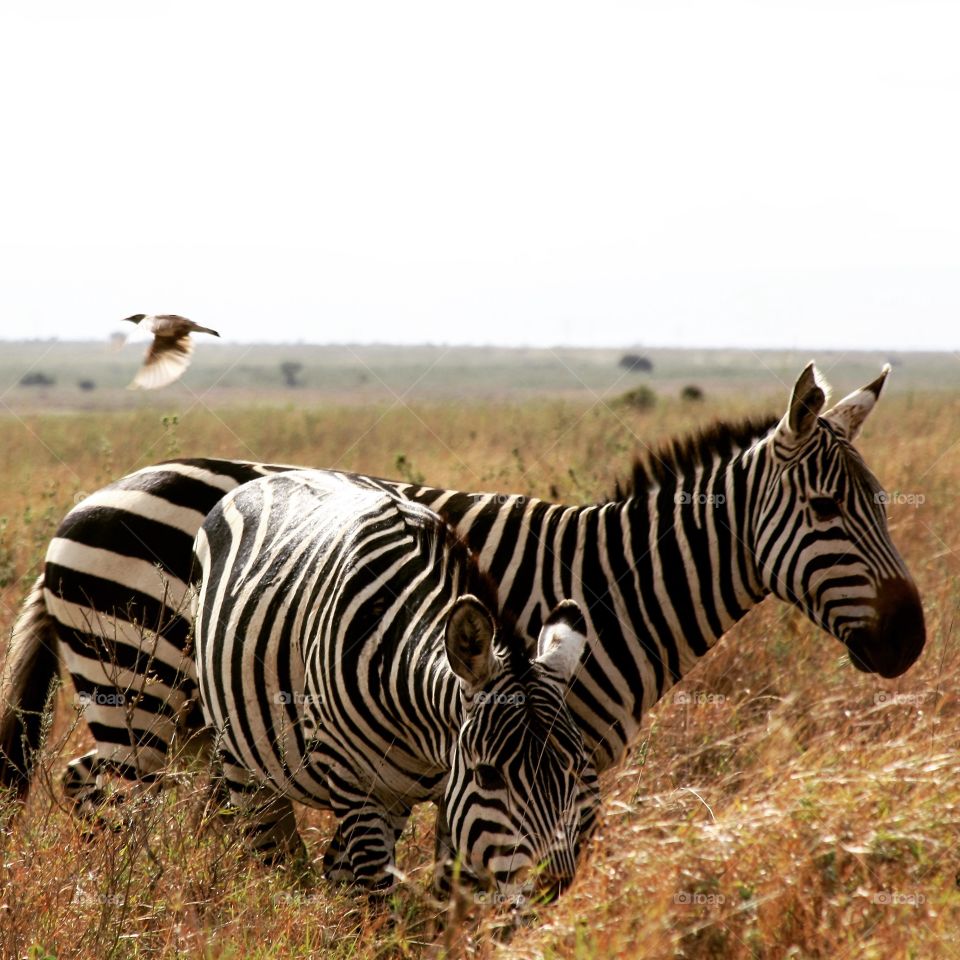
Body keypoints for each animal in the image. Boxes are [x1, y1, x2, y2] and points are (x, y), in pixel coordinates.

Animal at [1, 363, 924, 803]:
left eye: (882, 503)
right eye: (825, 509)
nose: (912, 639)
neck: (611, 591)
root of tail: (92, 498)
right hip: (137, 682)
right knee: (109, 793)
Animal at [192, 471, 597, 893]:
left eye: (577, 767)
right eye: (488, 775)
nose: (554, 884)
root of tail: (270, 476)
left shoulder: (449, 794)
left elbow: (453, 893)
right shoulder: (353, 781)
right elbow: (377, 893)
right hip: (242, 761)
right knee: (276, 851)